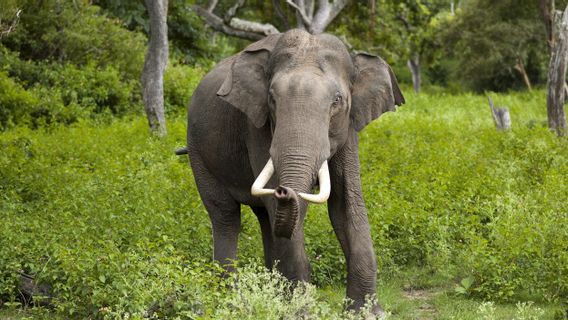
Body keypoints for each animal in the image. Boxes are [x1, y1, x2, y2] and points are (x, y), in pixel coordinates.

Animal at [180, 28, 406, 314]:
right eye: (272, 99)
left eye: (337, 101)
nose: (283, 190)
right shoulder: (257, 125)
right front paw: (299, 312)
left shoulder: (349, 127)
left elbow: (345, 205)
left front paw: (366, 313)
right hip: (198, 151)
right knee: (226, 217)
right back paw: (230, 301)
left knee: (265, 219)